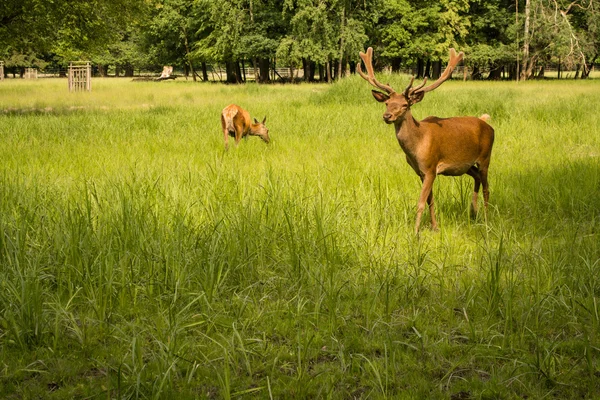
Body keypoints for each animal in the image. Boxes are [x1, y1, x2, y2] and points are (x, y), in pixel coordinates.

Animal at [358, 48, 494, 233]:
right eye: (387, 103)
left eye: (405, 105)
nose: (387, 116)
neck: (417, 146)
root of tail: (489, 126)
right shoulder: (421, 172)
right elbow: (431, 200)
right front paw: (435, 227)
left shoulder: (430, 167)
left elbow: (421, 202)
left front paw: (415, 232)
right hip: (466, 165)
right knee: (477, 178)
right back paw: (474, 212)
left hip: (485, 157)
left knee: (487, 188)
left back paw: (486, 220)